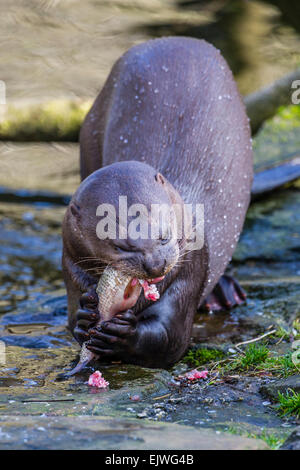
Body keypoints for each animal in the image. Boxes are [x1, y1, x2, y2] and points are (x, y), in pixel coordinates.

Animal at [62, 36, 253, 370]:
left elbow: (169, 339)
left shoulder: (190, 268)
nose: (156, 264)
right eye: (120, 245)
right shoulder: (69, 256)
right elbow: (73, 315)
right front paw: (85, 316)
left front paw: (124, 336)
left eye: (164, 235)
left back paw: (224, 292)